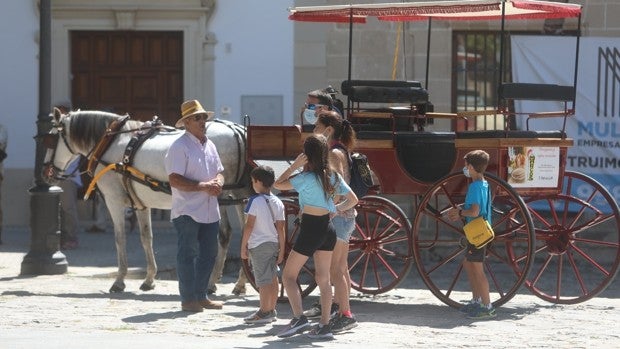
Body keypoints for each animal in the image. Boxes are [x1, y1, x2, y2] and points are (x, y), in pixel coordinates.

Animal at [41, 107, 252, 292]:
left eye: (51, 139)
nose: (45, 173)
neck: (112, 142)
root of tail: (239, 132)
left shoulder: (113, 201)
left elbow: (120, 239)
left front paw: (119, 280)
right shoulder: (141, 204)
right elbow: (146, 238)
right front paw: (149, 279)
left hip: (220, 194)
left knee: (226, 233)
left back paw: (212, 282)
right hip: (241, 195)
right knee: (246, 234)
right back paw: (240, 283)